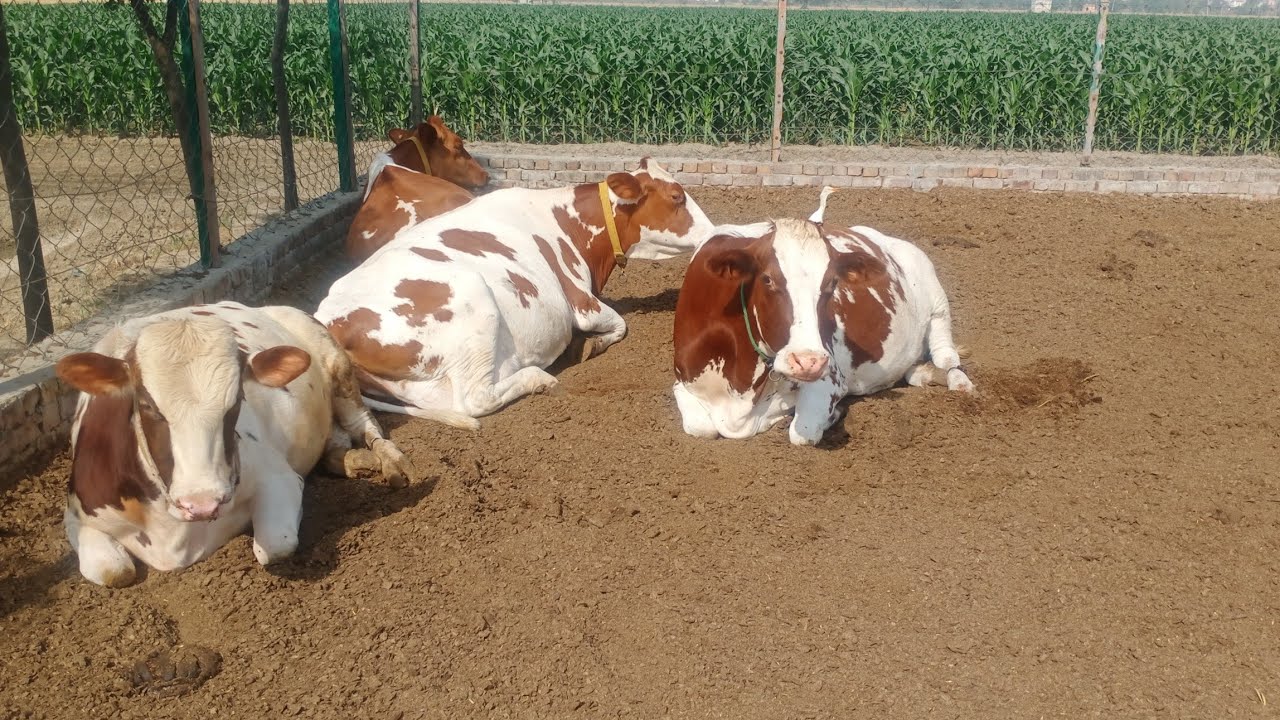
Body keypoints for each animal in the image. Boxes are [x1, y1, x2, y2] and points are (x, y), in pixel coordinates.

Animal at [54, 302, 413, 588]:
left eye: (237, 400)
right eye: (146, 405)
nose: (201, 502)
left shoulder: (278, 478)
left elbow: (275, 546)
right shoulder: (77, 515)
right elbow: (114, 572)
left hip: (332, 356)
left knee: (362, 422)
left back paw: (390, 461)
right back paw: (352, 460)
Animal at [316, 158, 717, 426]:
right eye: (677, 196)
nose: (715, 232)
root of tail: (327, 320)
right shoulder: (580, 301)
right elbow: (619, 324)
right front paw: (589, 346)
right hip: (472, 299)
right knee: (475, 400)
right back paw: (540, 379)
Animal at [672, 188, 975, 446]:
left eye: (831, 283)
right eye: (767, 279)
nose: (808, 362)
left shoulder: (831, 379)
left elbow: (802, 432)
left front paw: (824, 414)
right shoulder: (682, 381)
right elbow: (700, 427)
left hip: (938, 305)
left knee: (948, 358)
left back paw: (958, 382)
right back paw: (920, 372)